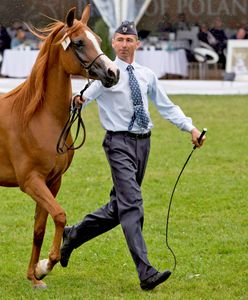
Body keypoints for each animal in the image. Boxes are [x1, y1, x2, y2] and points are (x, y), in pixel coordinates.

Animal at [0, 5, 119, 288]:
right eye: (78, 42)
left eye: (98, 39)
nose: (113, 73)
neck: (36, 118)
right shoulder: (31, 182)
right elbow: (61, 216)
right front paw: (46, 265)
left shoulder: (52, 182)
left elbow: (40, 228)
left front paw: (34, 276)